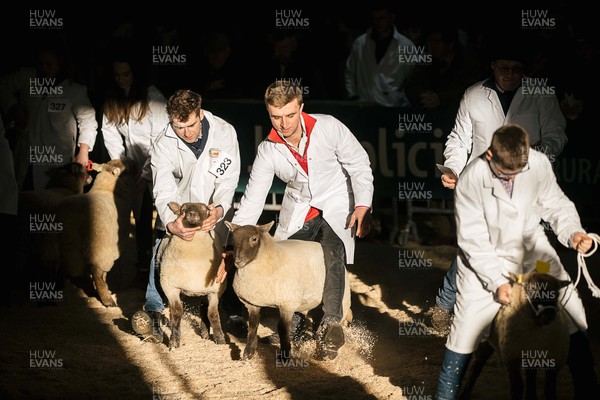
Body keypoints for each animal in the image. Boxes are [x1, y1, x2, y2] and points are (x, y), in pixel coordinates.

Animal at [41, 158, 136, 308]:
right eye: (127, 167)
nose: (136, 163)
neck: (106, 188)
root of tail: (70, 220)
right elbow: (101, 274)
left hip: (51, 246)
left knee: (50, 270)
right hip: (99, 248)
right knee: (97, 273)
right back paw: (107, 299)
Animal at [157, 202, 227, 348]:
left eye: (205, 208)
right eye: (183, 209)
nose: (192, 214)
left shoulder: (215, 291)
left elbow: (213, 314)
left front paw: (219, 337)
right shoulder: (170, 287)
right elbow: (177, 311)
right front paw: (174, 339)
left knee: (204, 308)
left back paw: (205, 332)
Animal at [224, 220, 354, 360]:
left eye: (254, 238)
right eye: (234, 238)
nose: (238, 261)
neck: (273, 258)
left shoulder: (287, 305)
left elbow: (282, 328)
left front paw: (285, 355)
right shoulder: (252, 303)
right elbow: (253, 326)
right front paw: (249, 352)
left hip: (342, 299)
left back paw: (329, 345)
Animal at [462, 270, 568, 398]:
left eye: (557, 292)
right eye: (533, 288)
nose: (550, 314)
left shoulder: (555, 361)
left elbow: (549, 390)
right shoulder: (512, 358)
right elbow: (517, 387)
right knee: (476, 366)